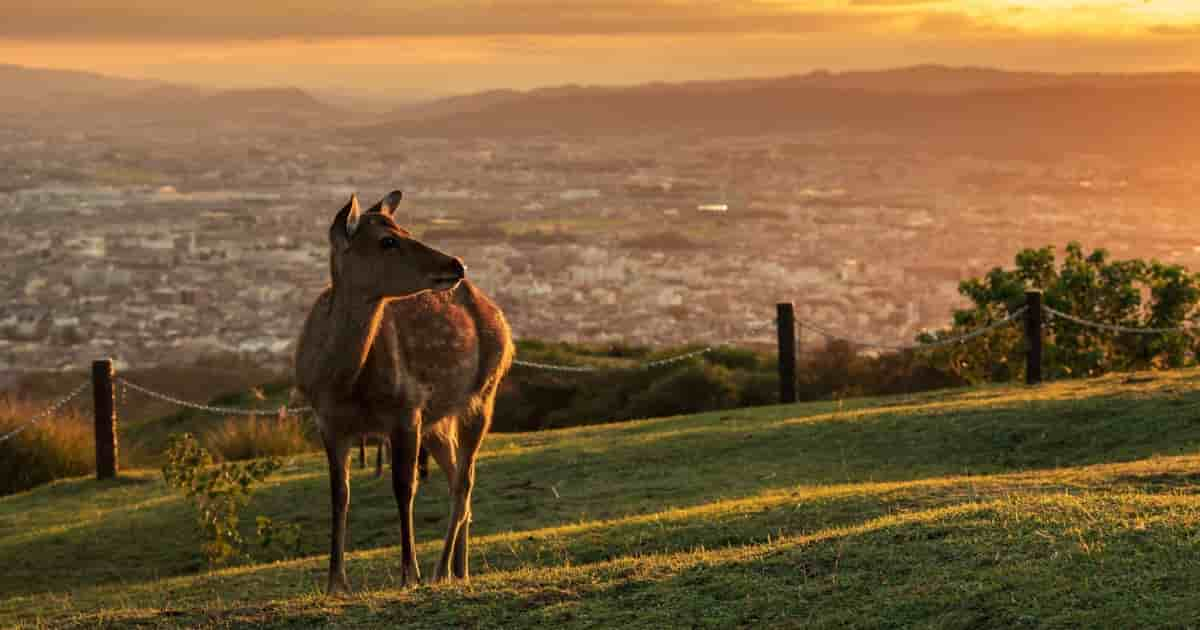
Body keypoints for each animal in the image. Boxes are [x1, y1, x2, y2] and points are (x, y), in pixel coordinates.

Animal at [297, 192, 513, 595]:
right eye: (388, 241)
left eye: (405, 229)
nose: (456, 263)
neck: (344, 384)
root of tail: (499, 316)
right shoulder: (327, 422)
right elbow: (339, 495)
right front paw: (336, 582)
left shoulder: (406, 410)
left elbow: (403, 487)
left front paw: (408, 575)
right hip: (437, 422)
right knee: (457, 479)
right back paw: (460, 570)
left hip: (484, 394)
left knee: (464, 483)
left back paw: (440, 570)